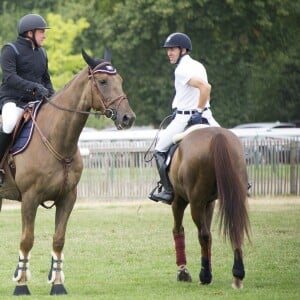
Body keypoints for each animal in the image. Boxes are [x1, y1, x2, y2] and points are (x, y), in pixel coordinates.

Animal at [0, 48, 136, 294]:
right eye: (103, 81)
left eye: (120, 80)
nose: (128, 118)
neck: (57, 138)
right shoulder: (30, 199)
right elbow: (27, 239)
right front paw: (21, 285)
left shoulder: (67, 198)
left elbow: (58, 239)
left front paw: (57, 284)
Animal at [169, 126, 251, 288]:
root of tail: (217, 136)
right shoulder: (209, 203)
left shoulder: (179, 200)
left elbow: (178, 230)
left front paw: (183, 271)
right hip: (235, 195)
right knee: (236, 227)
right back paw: (237, 274)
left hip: (195, 203)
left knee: (203, 235)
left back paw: (204, 275)